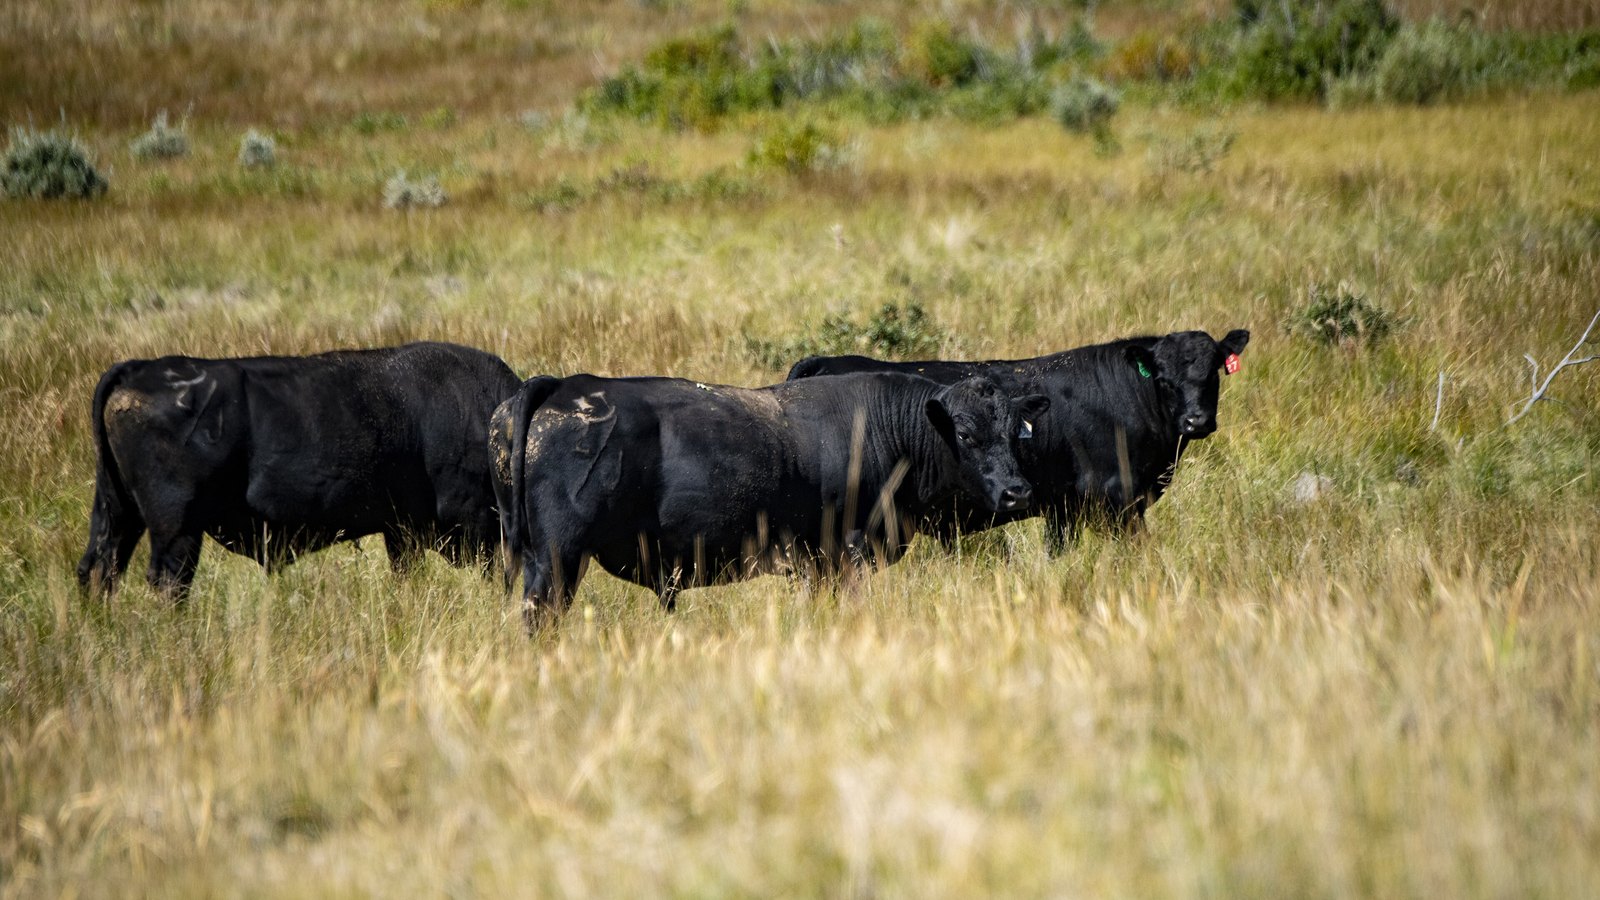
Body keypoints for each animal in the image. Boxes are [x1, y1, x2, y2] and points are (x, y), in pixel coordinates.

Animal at [77, 341, 522, 598]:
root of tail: (138, 369)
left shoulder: (401, 530)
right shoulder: (474, 525)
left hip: (118, 512)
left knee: (98, 569)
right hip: (177, 529)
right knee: (168, 581)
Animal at [491, 372, 1050, 630]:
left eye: (1015, 433)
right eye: (967, 435)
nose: (1017, 492)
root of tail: (566, 384)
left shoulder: (813, 562)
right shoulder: (849, 549)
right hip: (558, 560)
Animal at [785, 329, 1250, 550]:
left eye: (1212, 372)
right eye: (1165, 380)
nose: (1195, 420)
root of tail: (823, 360)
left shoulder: (1063, 508)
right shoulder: (1116, 500)